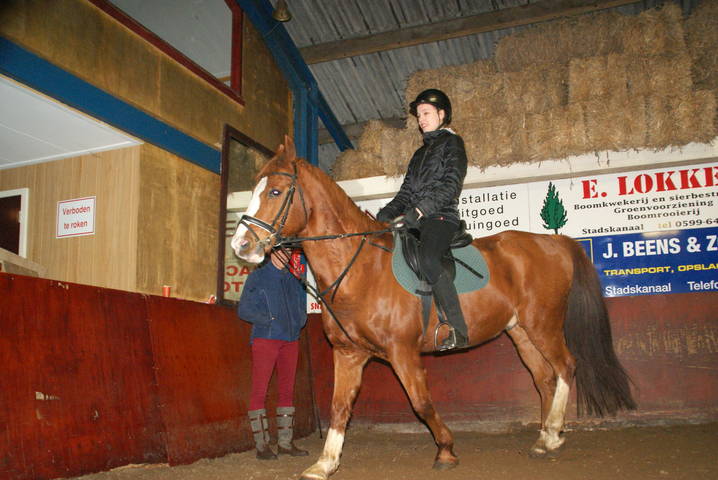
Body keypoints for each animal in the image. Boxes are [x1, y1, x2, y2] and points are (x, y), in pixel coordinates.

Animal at [231, 136, 636, 480]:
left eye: (275, 191)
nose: (241, 246)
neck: (362, 269)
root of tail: (555, 243)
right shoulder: (348, 354)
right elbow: (339, 407)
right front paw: (325, 463)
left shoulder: (402, 352)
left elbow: (421, 403)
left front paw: (446, 450)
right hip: (520, 331)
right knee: (544, 377)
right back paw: (544, 439)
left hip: (544, 323)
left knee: (566, 366)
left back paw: (552, 433)